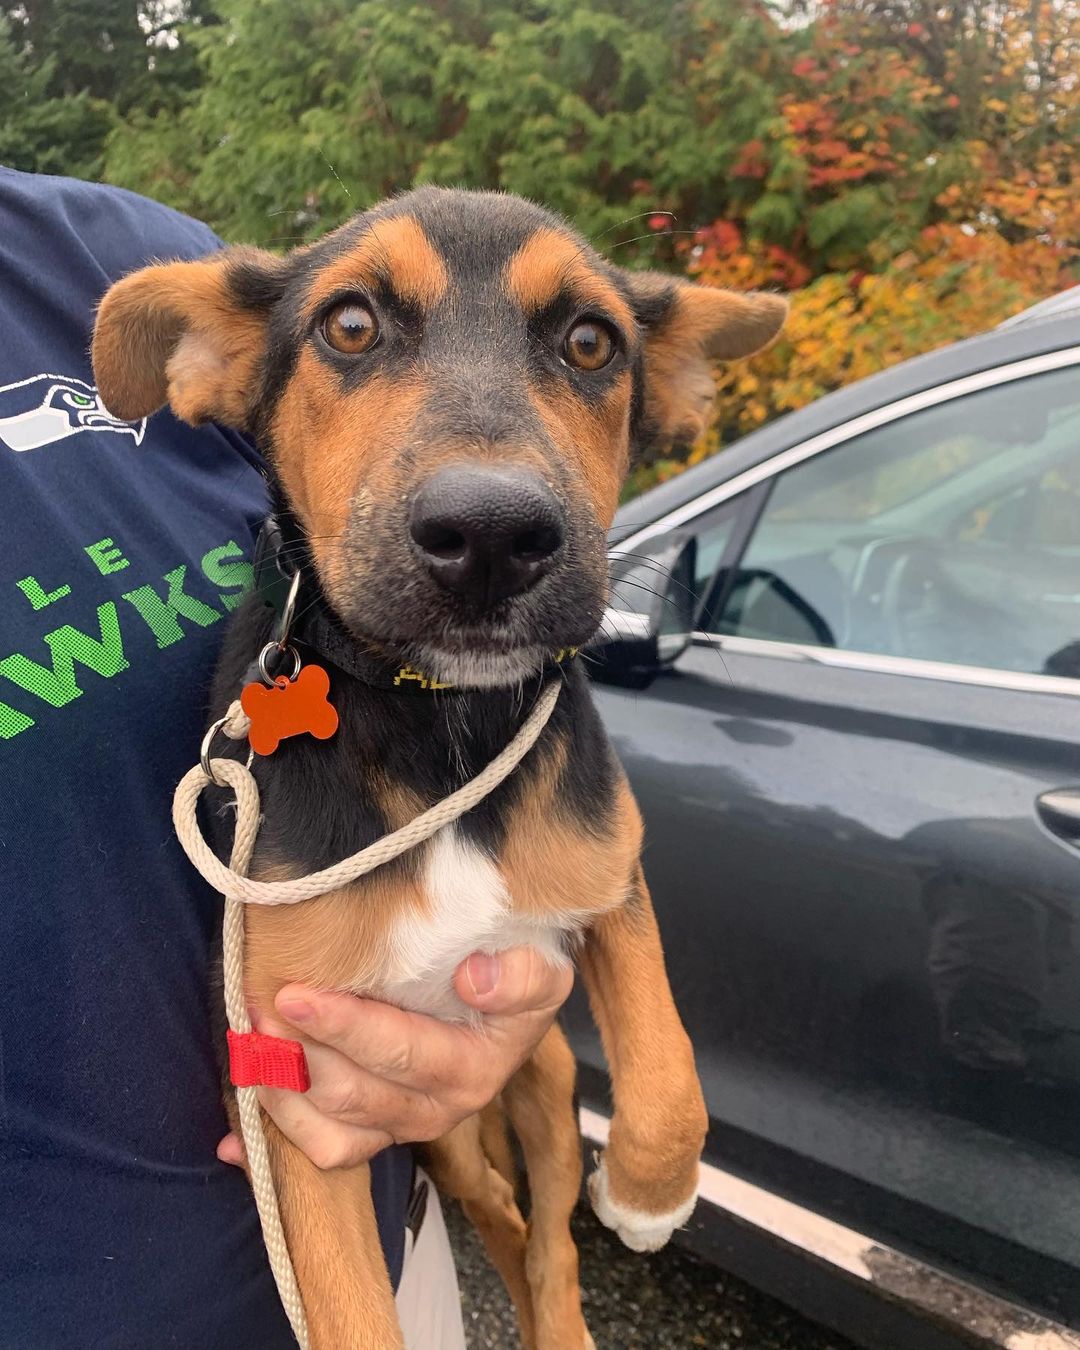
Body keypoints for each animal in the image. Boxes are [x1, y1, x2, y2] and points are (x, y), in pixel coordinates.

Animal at [90, 184, 783, 1344]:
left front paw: (652, 1192)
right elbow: (350, 1311)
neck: (438, 718)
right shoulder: (292, 1089)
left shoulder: (606, 872)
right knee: (500, 1215)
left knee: (545, 1239)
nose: (493, 534)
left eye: (592, 342)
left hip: (542, 1074)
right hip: (451, 1136)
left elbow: (666, 1055)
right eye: (349, 325)